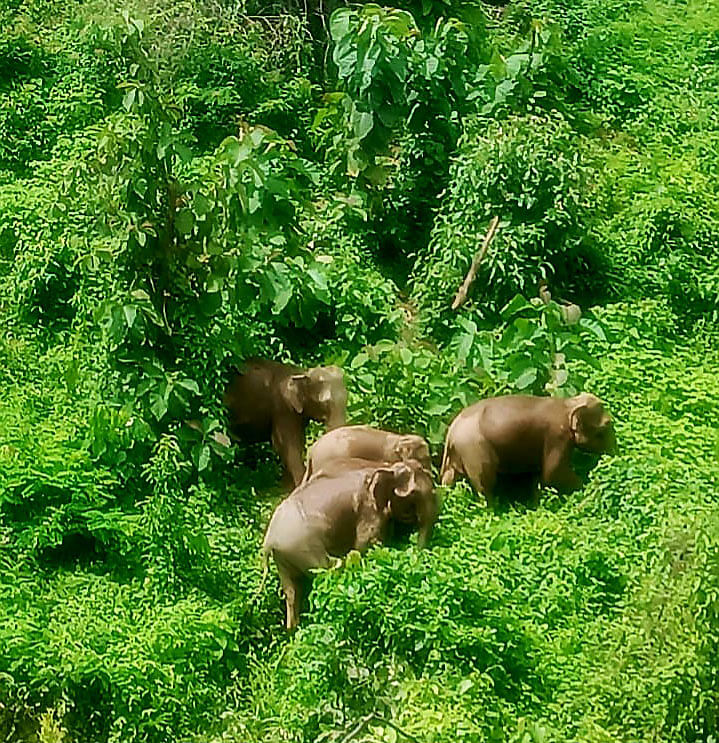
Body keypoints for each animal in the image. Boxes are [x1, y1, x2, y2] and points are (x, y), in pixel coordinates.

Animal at [225, 360, 348, 488]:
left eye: (346, 398)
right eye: (324, 403)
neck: (301, 373)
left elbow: (297, 443)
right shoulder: (282, 409)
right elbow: (288, 445)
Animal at [262, 462, 434, 632]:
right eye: (414, 494)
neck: (388, 468)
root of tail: (268, 541)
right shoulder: (368, 510)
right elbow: (366, 544)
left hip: (283, 558)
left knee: (292, 590)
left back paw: (293, 630)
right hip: (303, 546)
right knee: (328, 569)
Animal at [442, 392, 616, 508]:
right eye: (606, 425)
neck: (569, 403)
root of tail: (451, 431)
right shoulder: (557, 436)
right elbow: (553, 473)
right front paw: (585, 488)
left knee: (449, 477)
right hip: (475, 449)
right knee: (485, 481)